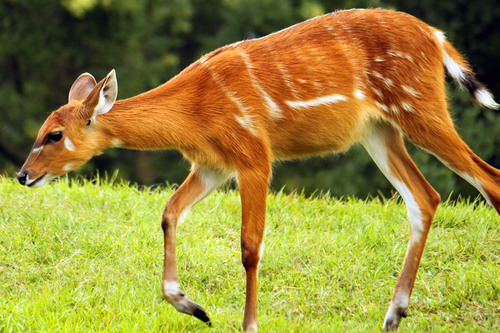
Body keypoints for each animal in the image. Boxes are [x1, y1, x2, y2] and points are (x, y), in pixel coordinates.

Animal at [17, 8, 498, 332]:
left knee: (486, 178)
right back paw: (393, 314)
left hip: (419, 107)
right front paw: (193, 306)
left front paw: (247, 323)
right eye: (42, 129)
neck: (193, 111)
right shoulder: (212, 166)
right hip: (380, 130)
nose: (22, 175)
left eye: (54, 134)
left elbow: (250, 246)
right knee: (425, 197)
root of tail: (436, 36)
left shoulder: (254, 155)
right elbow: (169, 213)